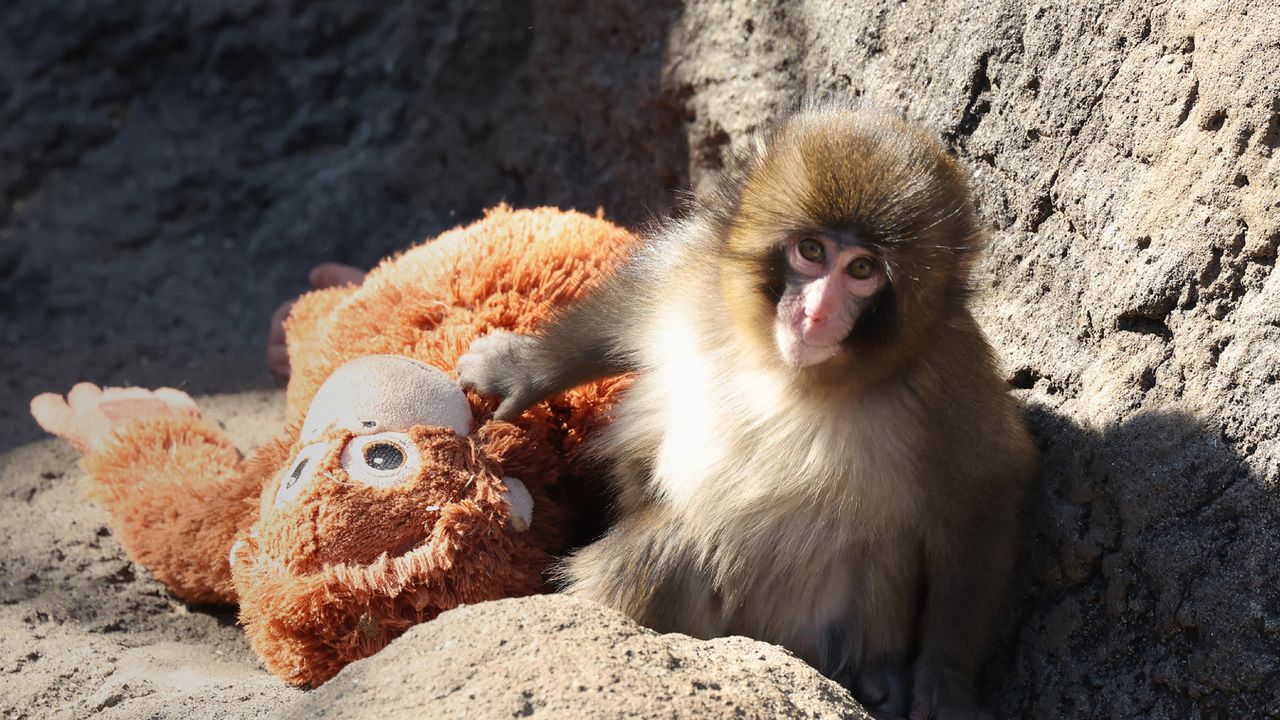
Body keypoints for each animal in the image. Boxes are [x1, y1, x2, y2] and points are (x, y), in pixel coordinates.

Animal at [457, 105, 1036, 720]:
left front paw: (945, 678)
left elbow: (983, 491)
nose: (815, 313)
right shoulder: (694, 272)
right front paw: (521, 370)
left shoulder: (949, 376)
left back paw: (879, 677)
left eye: (861, 270)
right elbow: (624, 311)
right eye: (812, 252)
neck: (788, 371)